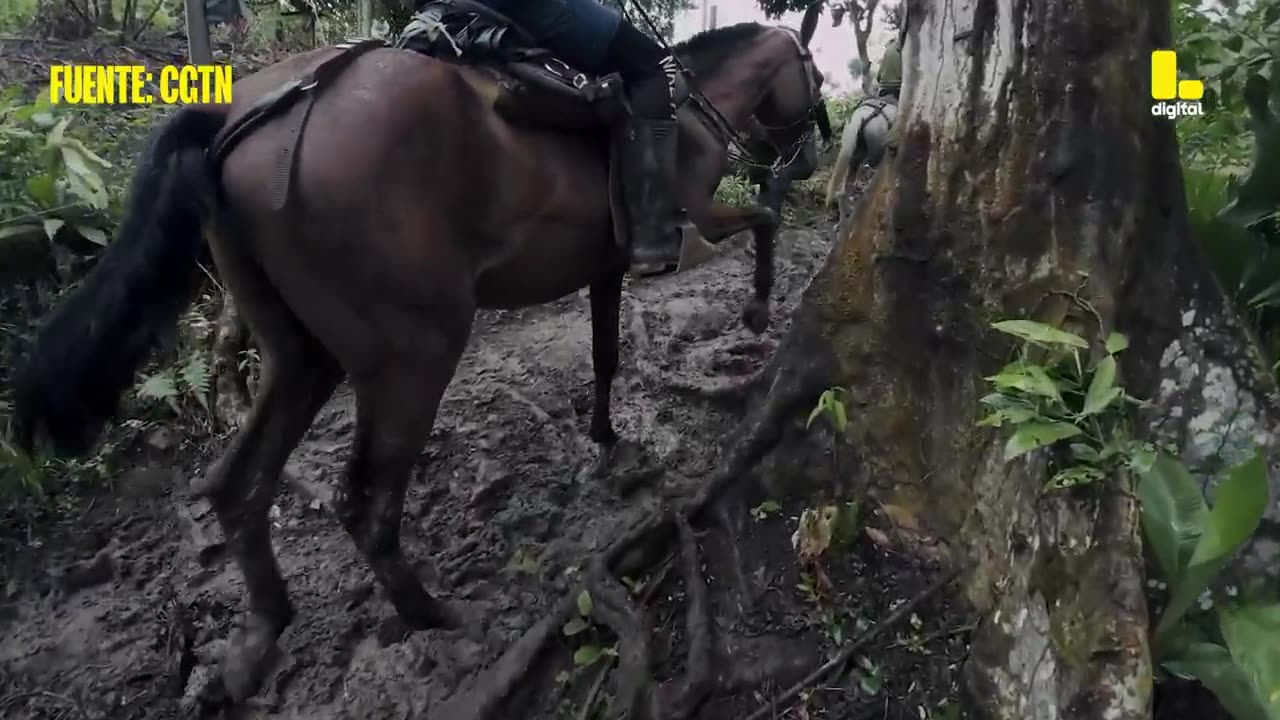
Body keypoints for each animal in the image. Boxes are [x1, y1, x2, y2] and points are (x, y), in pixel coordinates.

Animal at [12, 18, 819, 702]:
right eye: (811, 74)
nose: (812, 154)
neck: (693, 110)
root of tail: (252, 114)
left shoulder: (605, 266)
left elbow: (604, 355)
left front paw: (606, 439)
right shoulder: (696, 218)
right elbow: (765, 217)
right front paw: (756, 308)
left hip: (302, 355)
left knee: (241, 483)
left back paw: (258, 639)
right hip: (417, 350)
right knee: (365, 501)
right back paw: (432, 615)